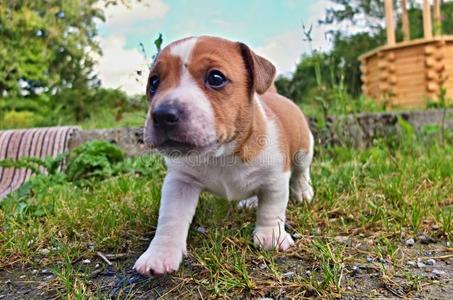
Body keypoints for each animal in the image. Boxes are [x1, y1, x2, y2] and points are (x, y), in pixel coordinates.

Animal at [132, 36, 312, 276]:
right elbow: (171, 217)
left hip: (304, 148)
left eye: (216, 78)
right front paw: (160, 253)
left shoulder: (275, 177)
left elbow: (272, 207)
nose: (162, 114)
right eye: (154, 82)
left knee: (301, 171)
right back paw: (251, 201)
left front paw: (270, 236)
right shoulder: (180, 183)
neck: (221, 154)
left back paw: (302, 191)